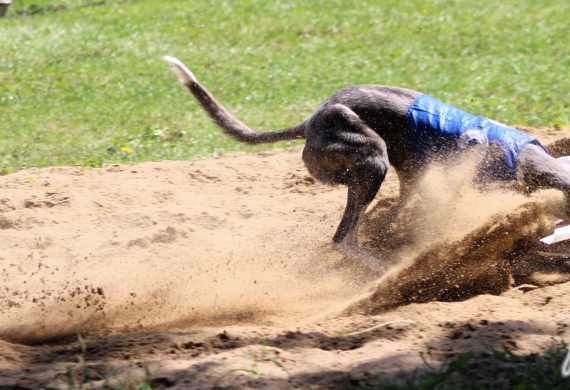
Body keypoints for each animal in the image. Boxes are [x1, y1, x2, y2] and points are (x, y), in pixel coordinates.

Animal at [163, 56, 568, 272]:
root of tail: (310, 122)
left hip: (403, 173)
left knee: (374, 221)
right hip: (372, 158)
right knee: (343, 238)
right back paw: (384, 268)